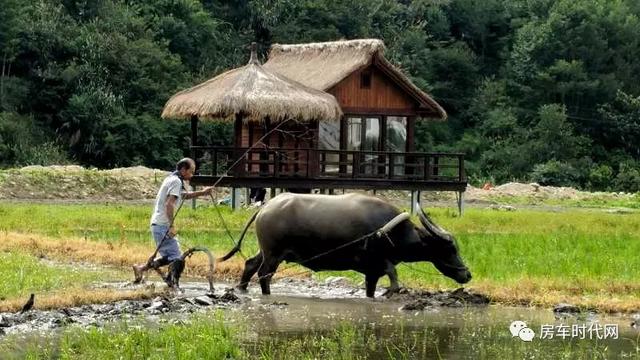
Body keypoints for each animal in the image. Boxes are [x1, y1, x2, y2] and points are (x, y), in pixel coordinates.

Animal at [220, 193, 470, 296]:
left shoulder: (372, 272)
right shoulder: (374, 260)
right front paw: (393, 290)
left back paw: (242, 290)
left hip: (266, 251)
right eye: (450, 248)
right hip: (274, 254)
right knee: (264, 274)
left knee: (250, 265)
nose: (467, 274)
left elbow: (372, 288)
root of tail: (266, 206)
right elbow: (393, 272)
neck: (390, 231)